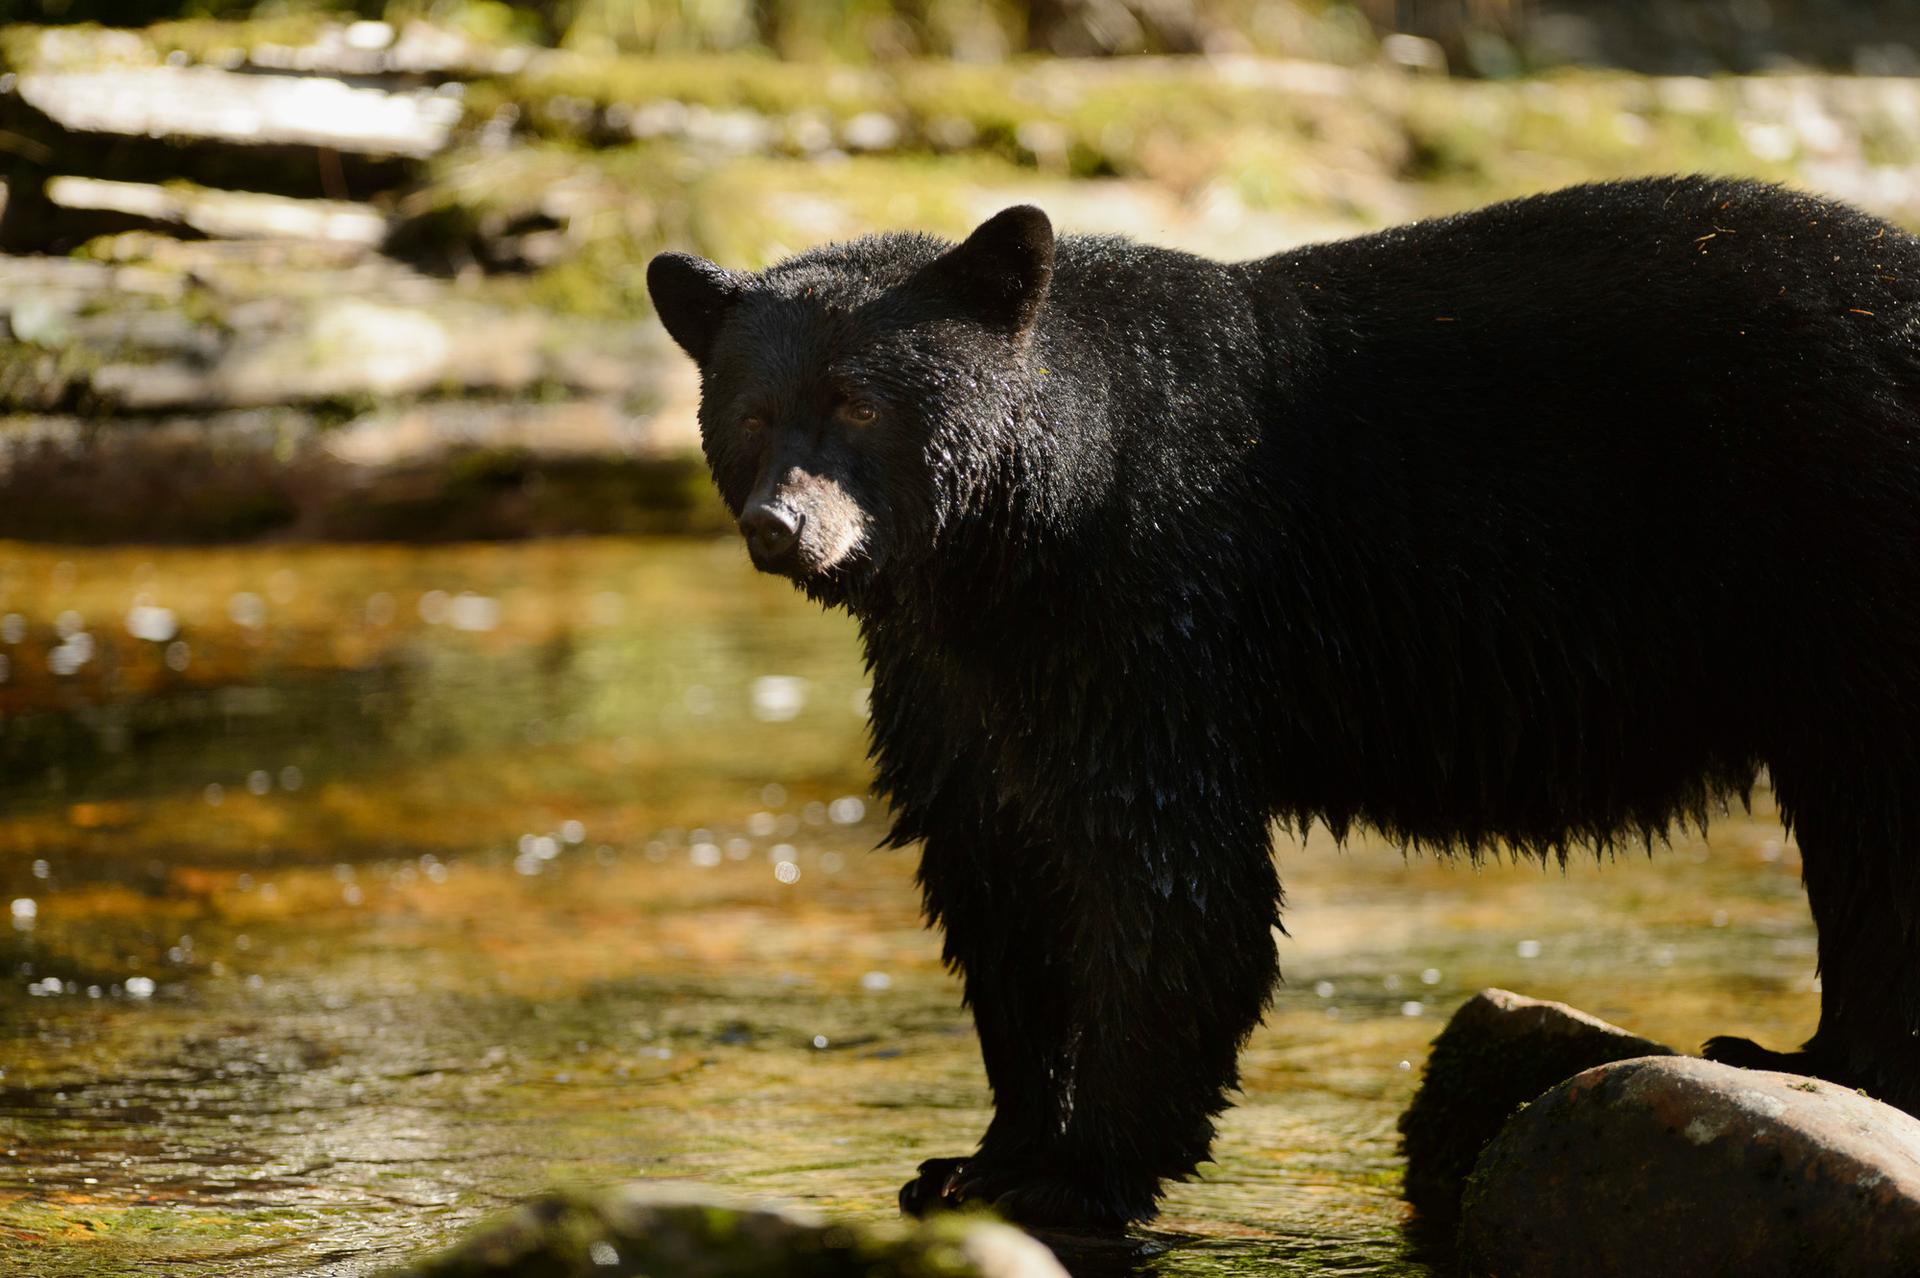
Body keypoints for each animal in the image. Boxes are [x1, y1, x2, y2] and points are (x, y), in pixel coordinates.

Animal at [645, 174, 1920, 1228]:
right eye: (749, 412)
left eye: (860, 404)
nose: (782, 527)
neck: (1009, 545)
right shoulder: (951, 678)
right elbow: (995, 879)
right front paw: (975, 1158)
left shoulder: (1152, 608)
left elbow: (1170, 883)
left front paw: (1083, 1172)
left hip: (1850, 555)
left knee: (1877, 831)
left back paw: (1823, 1057)